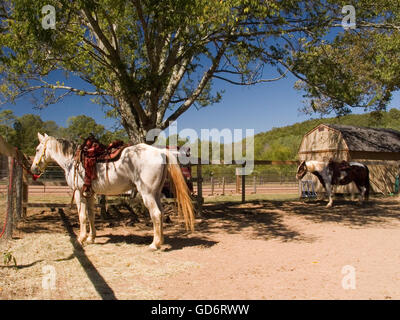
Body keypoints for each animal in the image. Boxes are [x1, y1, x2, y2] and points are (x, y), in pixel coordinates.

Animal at [30, 132, 195, 250]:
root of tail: (161, 152)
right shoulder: (90, 194)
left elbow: (82, 216)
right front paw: (91, 238)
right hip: (156, 193)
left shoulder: (78, 193)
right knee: (160, 213)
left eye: (37, 149)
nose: (33, 169)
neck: (72, 160)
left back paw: (154, 244)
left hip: (147, 193)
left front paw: (80, 239)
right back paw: (161, 240)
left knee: (156, 214)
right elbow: (91, 215)